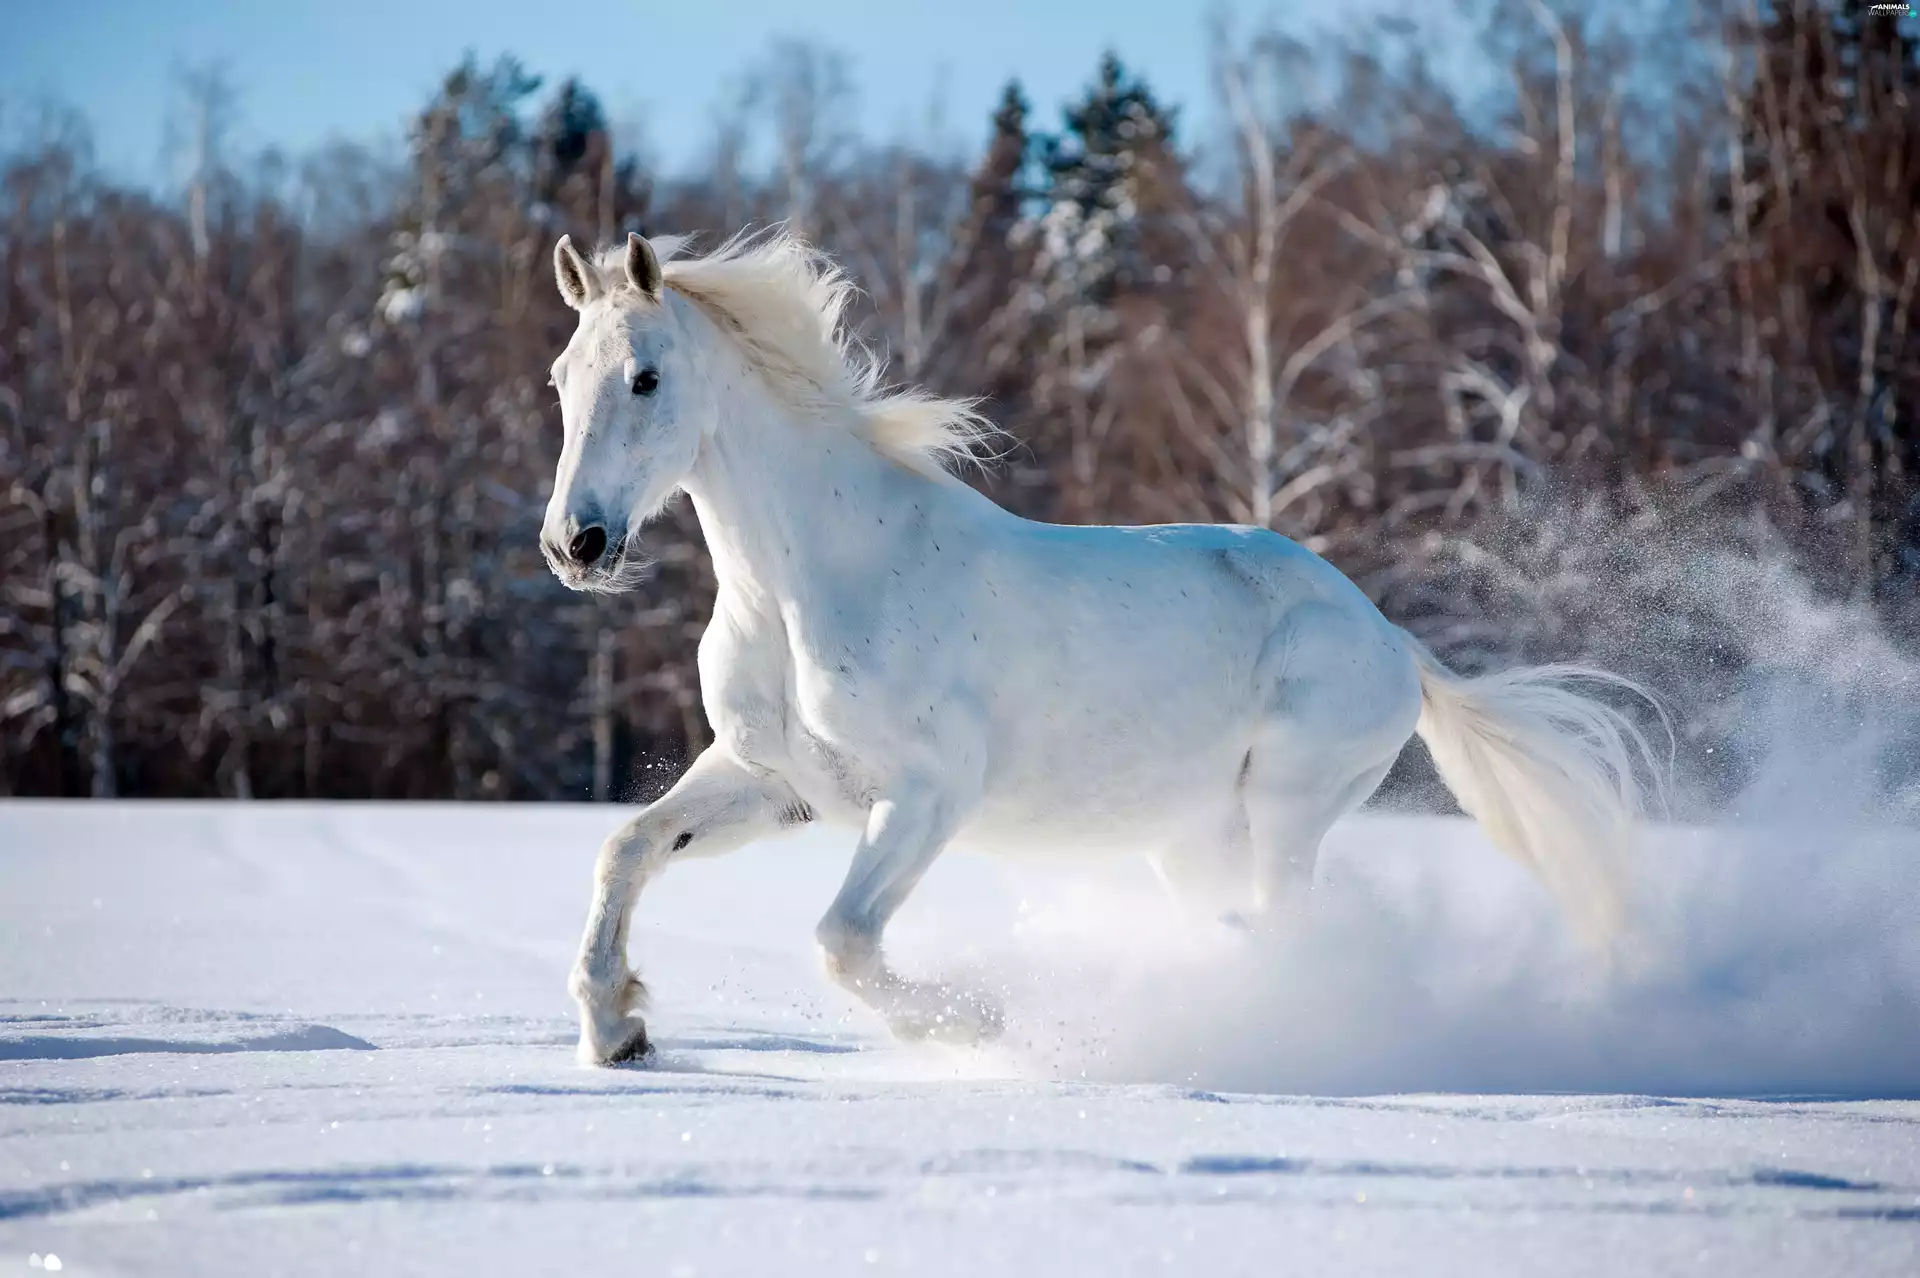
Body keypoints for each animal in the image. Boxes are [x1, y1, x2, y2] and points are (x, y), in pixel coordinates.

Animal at [540, 227, 1663, 1065]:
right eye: (560, 378)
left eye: (645, 377)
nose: (575, 544)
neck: (811, 582)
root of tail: (1391, 638)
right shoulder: (776, 781)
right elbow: (625, 849)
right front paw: (619, 1030)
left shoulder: (929, 792)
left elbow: (843, 942)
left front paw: (976, 1022)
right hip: (1192, 838)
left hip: (1289, 807)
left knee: (1287, 929)